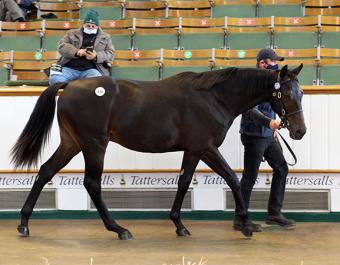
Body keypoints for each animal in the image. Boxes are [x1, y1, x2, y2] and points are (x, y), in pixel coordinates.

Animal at [11, 63, 306, 239]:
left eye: (301, 93)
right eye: (286, 94)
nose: (299, 132)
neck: (213, 98)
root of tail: (70, 85)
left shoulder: (193, 150)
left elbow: (184, 182)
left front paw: (179, 224)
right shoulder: (206, 148)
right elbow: (233, 178)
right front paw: (245, 224)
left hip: (72, 143)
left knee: (45, 171)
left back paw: (24, 223)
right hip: (94, 145)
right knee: (91, 183)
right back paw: (119, 229)